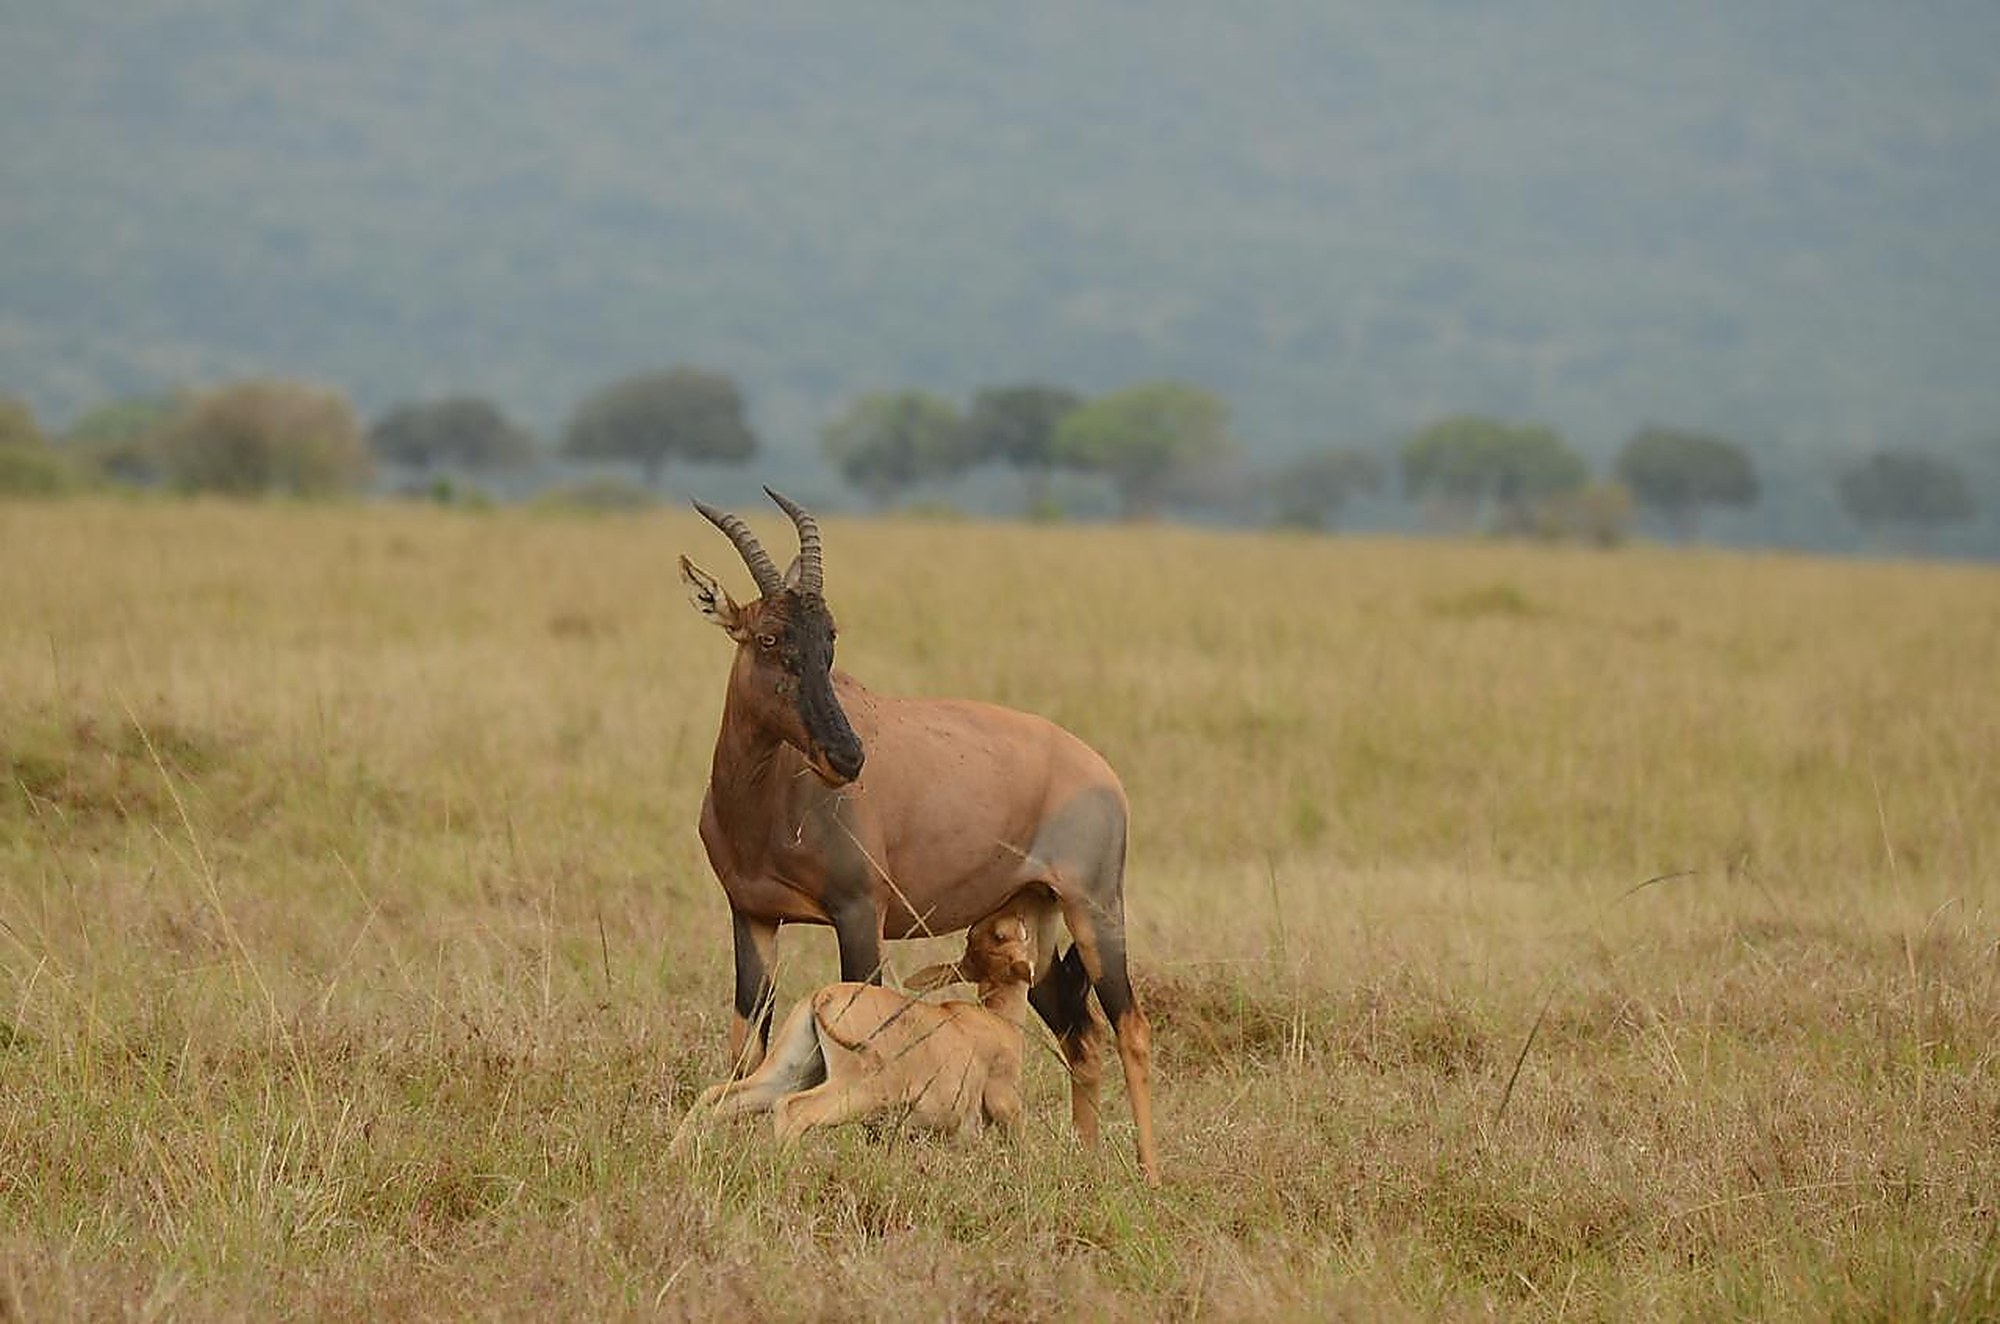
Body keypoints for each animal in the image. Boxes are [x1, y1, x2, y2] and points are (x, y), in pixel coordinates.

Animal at [671, 902, 1038, 1149]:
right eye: (1001, 935)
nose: (1019, 913)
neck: (993, 1020)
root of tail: (824, 997)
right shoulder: (1004, 1100)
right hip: (858, 1091)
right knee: (795, 1108)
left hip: (789, 1071)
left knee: (719, 1096)